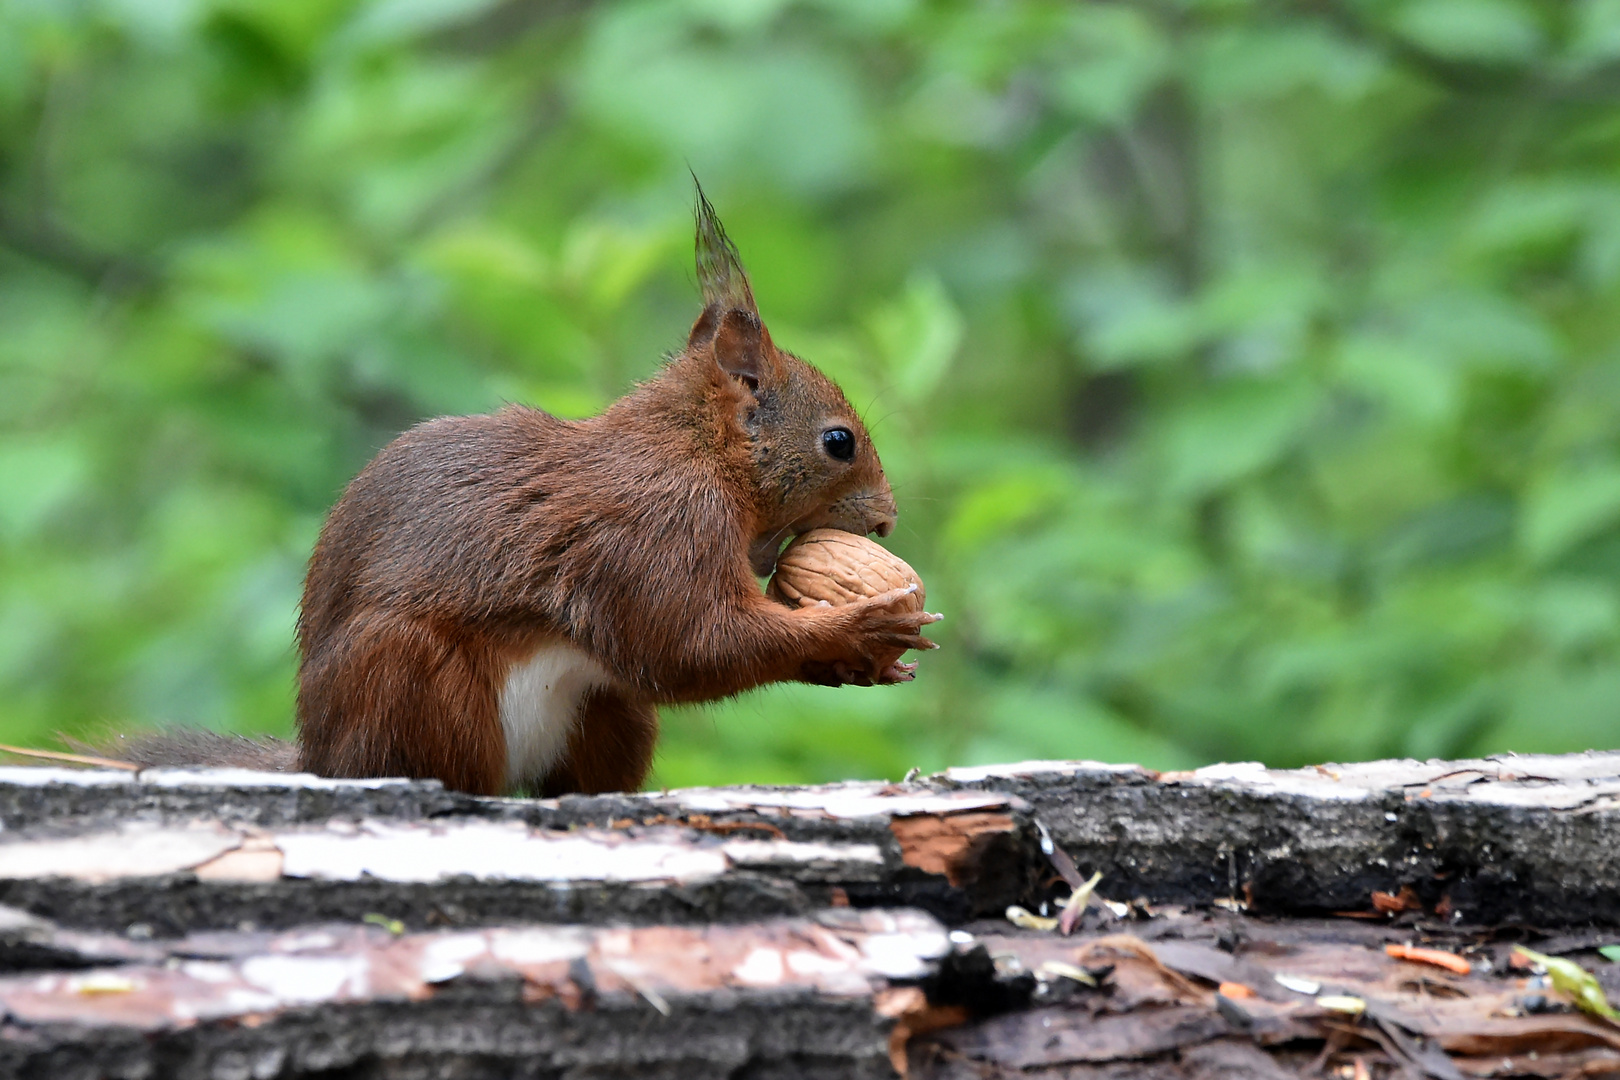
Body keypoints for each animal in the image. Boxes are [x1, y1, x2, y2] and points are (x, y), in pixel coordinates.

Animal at [110, 186, 939, 793]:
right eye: (839, 442)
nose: (889, 521)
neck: (697, 455)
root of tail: (320, 760)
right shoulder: (653, 530)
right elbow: (690, 643)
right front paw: (857, 630)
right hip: (415, 680)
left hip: (608, 714)